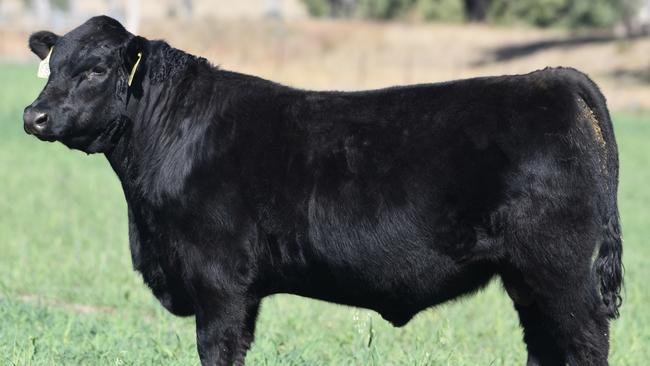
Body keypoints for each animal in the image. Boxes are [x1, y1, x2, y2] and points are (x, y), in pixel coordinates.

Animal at [22, 16, 620, 366]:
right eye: (51, 66)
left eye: (96, 70)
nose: (33, 116)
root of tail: (550, 77)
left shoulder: (219, 281)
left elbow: (218, 349)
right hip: (527, 278)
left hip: (560, 270)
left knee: (584, 342)